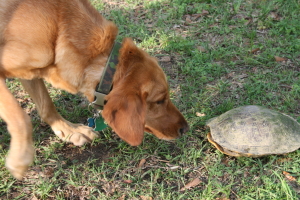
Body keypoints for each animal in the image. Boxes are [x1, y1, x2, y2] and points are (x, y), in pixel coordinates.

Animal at [0, 0, 188, 180]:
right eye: (159, 101)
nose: (185, 128)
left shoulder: (30, 72)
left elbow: (46, 105)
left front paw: (69, 130)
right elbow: (20, 117)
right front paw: (20, 159)